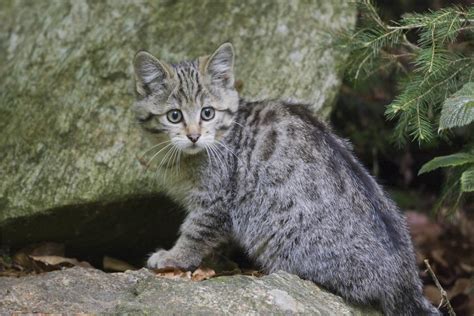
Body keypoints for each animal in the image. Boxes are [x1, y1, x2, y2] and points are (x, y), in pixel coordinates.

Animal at [131, 42, 438, 316]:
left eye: (208, 113)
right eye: (174, 116)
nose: (194, 135)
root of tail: (406, 282)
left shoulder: (215, 201)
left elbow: (195, 234)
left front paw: (173, 257)